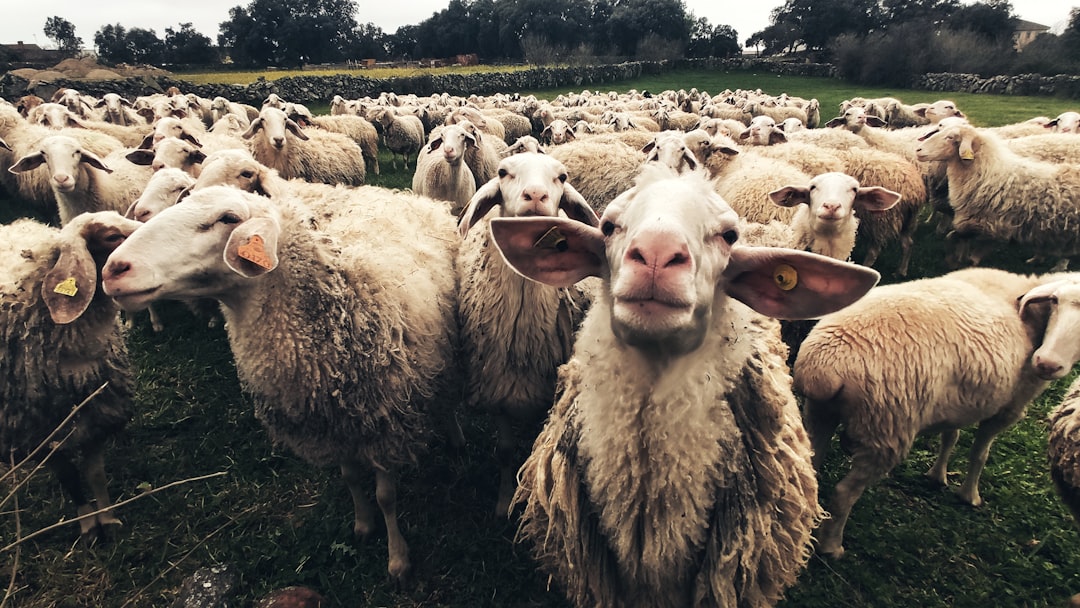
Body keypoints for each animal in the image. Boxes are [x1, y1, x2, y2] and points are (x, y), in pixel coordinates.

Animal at [1, 211, 143, 541]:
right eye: (111, 236)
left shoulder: (97, 413)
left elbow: (95, 474)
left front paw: (107, 520)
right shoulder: (34, 435)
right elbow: (69, 478)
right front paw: (88, 525)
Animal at [101, 184, 461, 585]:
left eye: (228, 218)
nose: (113, 269)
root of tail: (396, 194)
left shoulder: (384, 424)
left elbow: (386, 496)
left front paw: (397, 559)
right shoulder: (333, 428)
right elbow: (351, 477)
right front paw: (363, 525)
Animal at [456, 152, 599, 515]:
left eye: (562, 177)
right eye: (503, 172)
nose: (535, 196)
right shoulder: (498, 391)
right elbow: (506, 450)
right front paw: (504, 501)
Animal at [794, 267, 1080, 559]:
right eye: (1055, 301)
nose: (1046, 364)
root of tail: (823, 367)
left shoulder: (957, 400)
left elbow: (950, 436)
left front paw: (937, 475)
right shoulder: (1008, 409)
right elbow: (980, 454)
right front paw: (969, 495)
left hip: (821, 412)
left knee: (812, 467)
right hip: (886, 430)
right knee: (844, 493)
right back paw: (831, 546)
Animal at [915, 122, 1080, 267]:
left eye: (950, 137)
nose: (918, 150)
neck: (986, 174)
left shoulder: (992, 230)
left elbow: (971, 257)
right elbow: (953, 237)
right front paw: (956, 260)